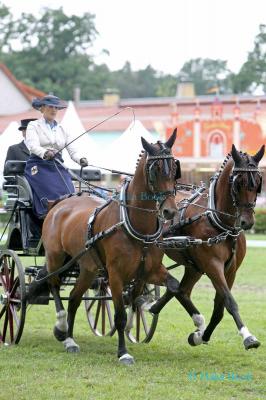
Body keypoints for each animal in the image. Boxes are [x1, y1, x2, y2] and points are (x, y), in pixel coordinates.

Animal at [41, 130, 181, 364]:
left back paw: (70, 340)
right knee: (54, 284)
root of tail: (60, 202)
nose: (170, 211)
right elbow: (120, 314)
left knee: (74, 298)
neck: (135, 224)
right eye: (155, 170)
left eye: (174, 169)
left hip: (88, 268)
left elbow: (149, 294)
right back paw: (61, 328)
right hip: (55, 258)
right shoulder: (115, 275)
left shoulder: (149, 271)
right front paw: (123, 352)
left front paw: (138, 320)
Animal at [150, 144, 264, 350]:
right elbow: (229, 301)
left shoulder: (230, 269)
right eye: (238, 182)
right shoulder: (212, 264)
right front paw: (248, 336)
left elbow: (220, 307)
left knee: (181, 289)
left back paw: (156, 307)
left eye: (259, 181)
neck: (220, 222)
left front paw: (201, 336)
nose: (247, 222)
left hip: (192, 264)